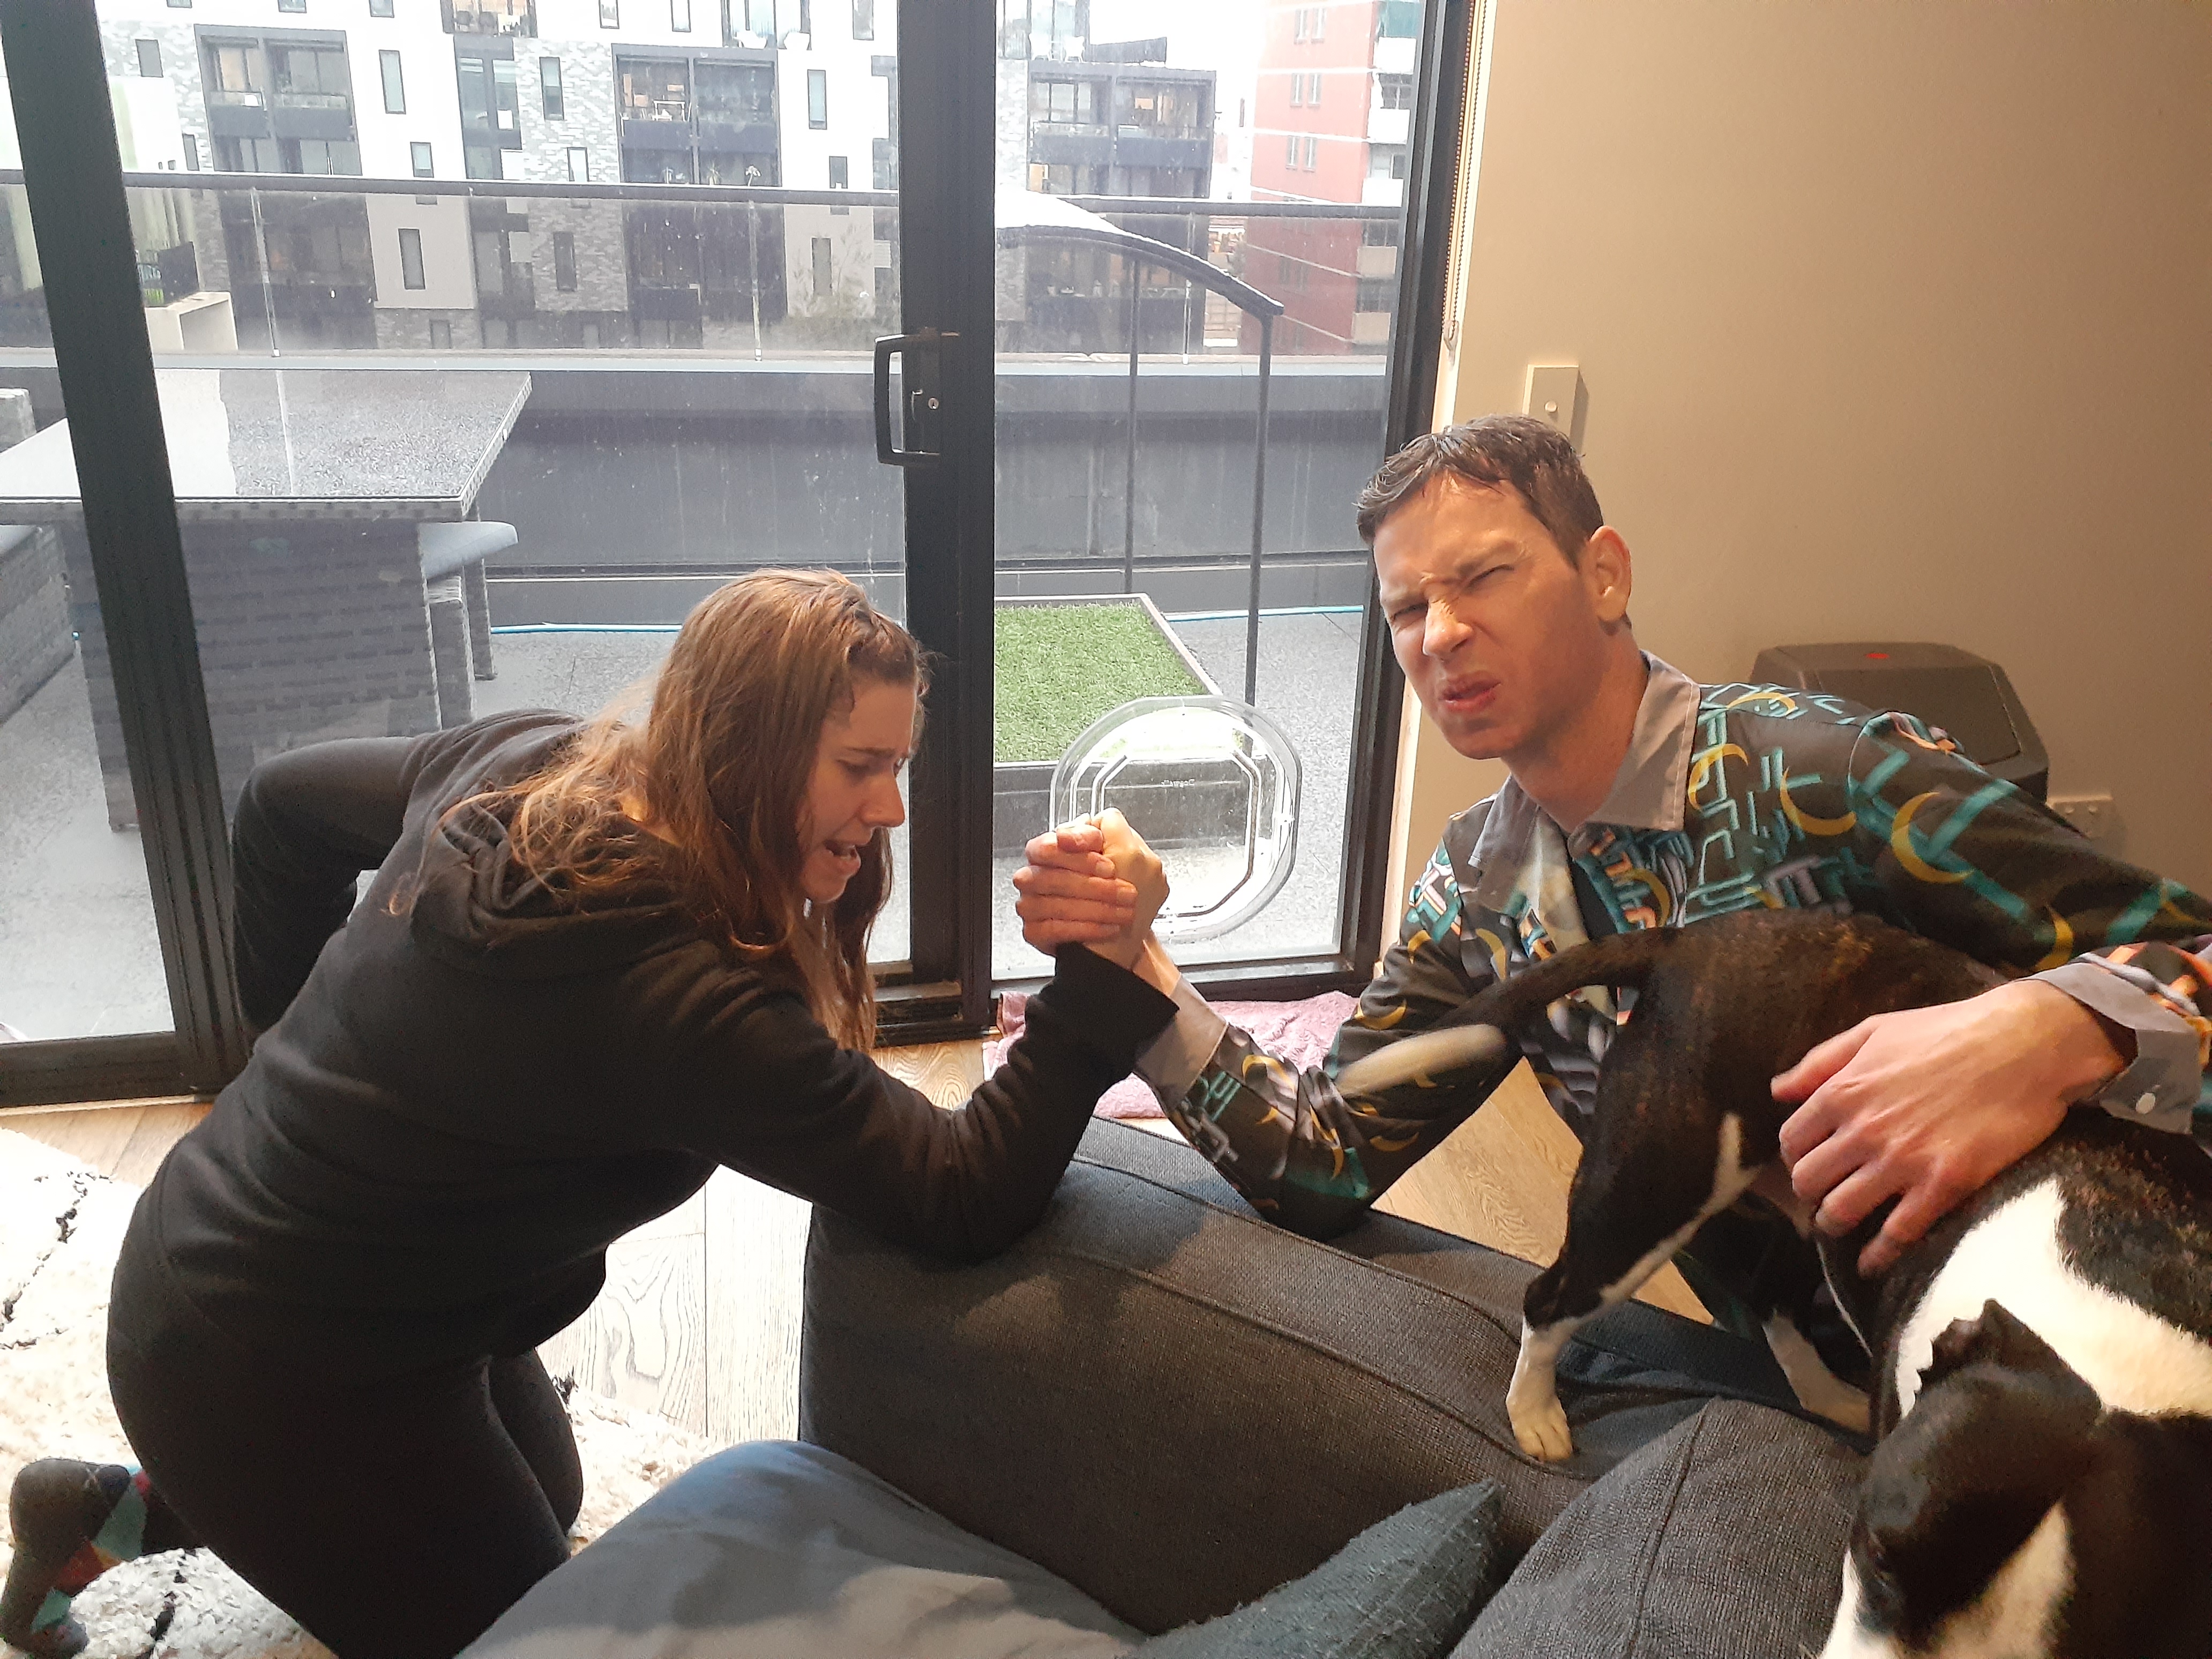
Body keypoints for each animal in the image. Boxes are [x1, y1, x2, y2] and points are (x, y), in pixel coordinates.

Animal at [1327, 911, 2212, 1659]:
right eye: (1875, 1552)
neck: (2126, 1319)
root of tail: (1691, 940)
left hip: (1812, 1200)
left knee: (1772, 1302)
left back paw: (1822, 1393)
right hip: (1653, 1192)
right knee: (1551, 1303)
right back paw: (1536, 1412)